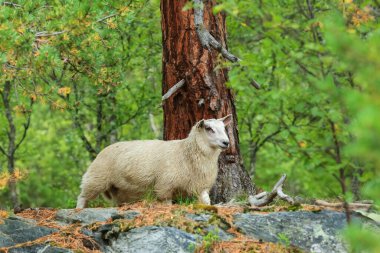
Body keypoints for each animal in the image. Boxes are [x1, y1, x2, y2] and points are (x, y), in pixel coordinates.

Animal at [75, 114, 232, 208]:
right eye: (209, 128)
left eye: (224, 128)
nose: (226, 142)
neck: (186, 153)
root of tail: (104, 149)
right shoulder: (165, 186)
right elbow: (167, 204)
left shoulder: (201, 186)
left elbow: (206, 201)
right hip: (96, 177)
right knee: (82, 196)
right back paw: (79, 209)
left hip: (119, 190)